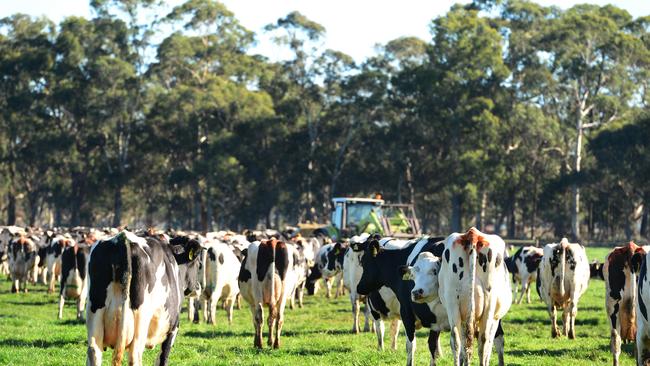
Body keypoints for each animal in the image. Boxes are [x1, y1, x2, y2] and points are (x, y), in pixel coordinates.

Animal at [85, 230, 200, 364]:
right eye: (198, 264)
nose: (198, 287)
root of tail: (123, 239)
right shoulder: (173, 328)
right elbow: (163, 358)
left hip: (95, 313)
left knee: (94, 352)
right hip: (141, 322)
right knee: (135, 356)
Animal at [436, 227, 512, 364]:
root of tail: (473, 234)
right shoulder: (495, 319)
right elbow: (490, 345)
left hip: (452, 303)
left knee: (456, 339)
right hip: (489, 304)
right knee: (483, 340)